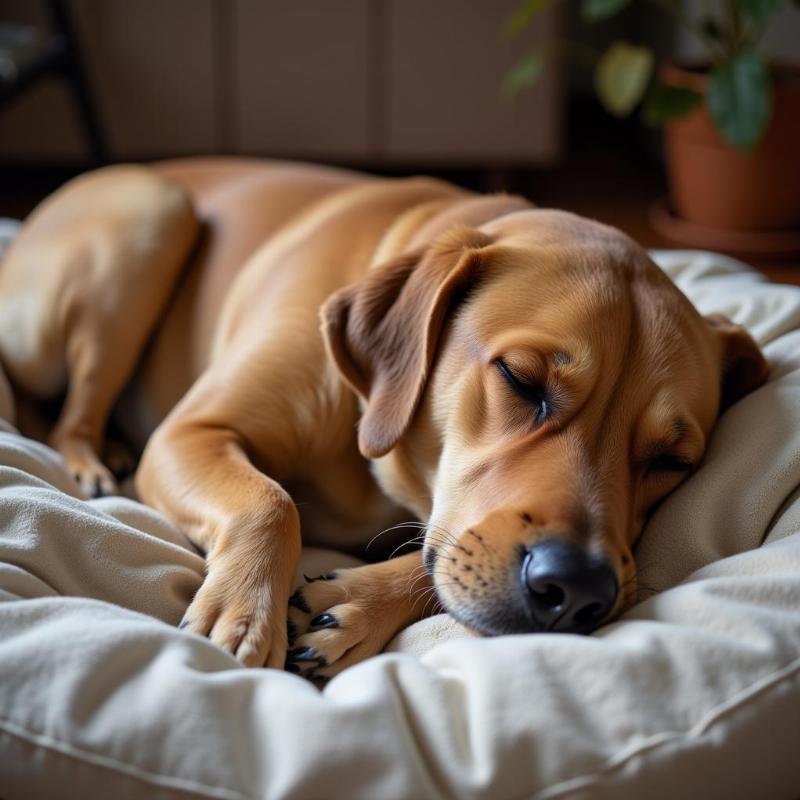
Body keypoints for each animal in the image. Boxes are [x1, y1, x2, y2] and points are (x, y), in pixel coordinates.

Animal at [0, 158, 764, 680]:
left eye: (672, 460)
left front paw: (357, 604)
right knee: (64, 414)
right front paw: (242, 614)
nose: (578, 589)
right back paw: (94, 464)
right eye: (521, 380)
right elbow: (272, 502)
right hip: (149, 217)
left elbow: (433, 556)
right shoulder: (189, 433)